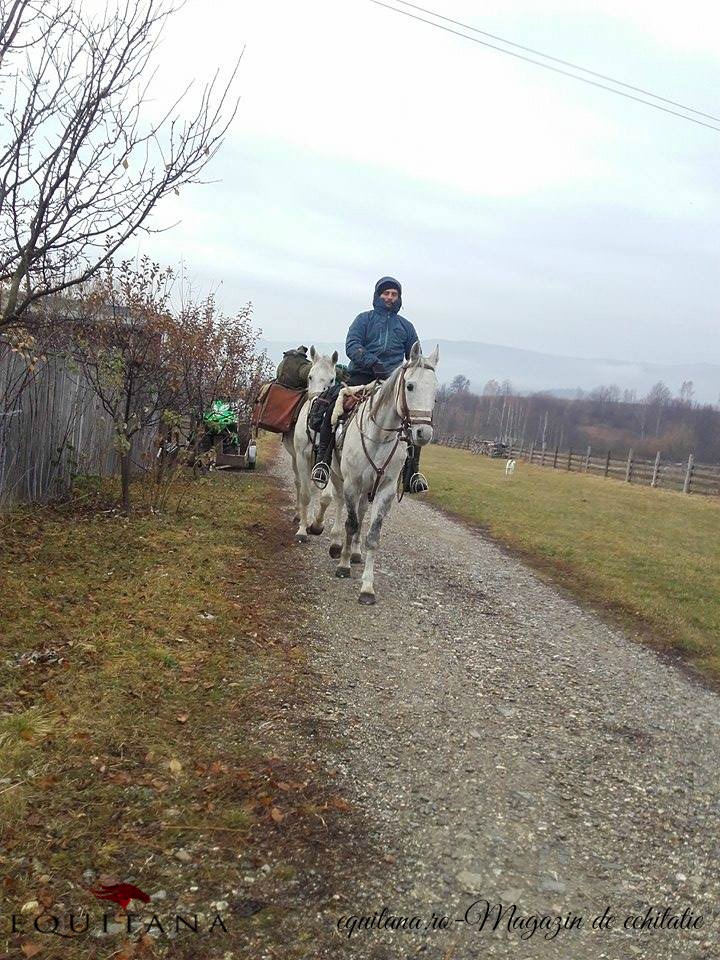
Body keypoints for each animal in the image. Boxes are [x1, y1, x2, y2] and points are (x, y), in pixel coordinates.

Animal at [282, 344, 338, 540]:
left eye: (332, 379)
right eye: (310, 376)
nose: (318, 408)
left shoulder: (327, 461)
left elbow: (325, 496)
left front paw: (317, 525)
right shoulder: (301, 457)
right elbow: (305, 494)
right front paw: (302, 530)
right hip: (295, 459)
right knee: (299, 484)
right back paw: (299, 515)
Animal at [328, 342, 438, 604]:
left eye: (435, 392)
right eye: (410, 386)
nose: (423, 433)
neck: (378, 436)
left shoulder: (385, 490)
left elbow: (372, 535)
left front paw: (367, 587)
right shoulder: (352, 484)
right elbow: (351, 524)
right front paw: (343, 566)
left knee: (360, 512)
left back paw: (355, 552)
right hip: (339, 479)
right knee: (339, 504)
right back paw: (336, 545)